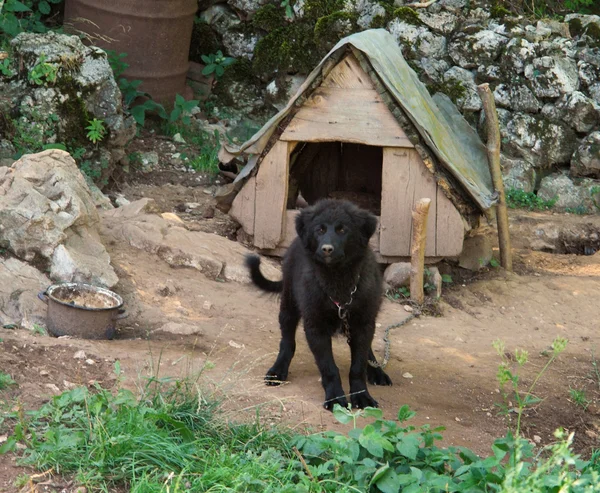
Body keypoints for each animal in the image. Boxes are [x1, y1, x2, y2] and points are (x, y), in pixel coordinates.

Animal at [246, 198, 392, 410]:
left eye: (342, 229)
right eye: (320, 230)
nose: (327, 249)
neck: (338, 280)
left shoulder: (363, 322)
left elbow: (358, 365)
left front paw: (361, 395)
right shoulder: (315, 326)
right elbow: (329, 367)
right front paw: (335, 398)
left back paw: (376, 370)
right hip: (289, 304)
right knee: (287, 342)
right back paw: (278, 370)